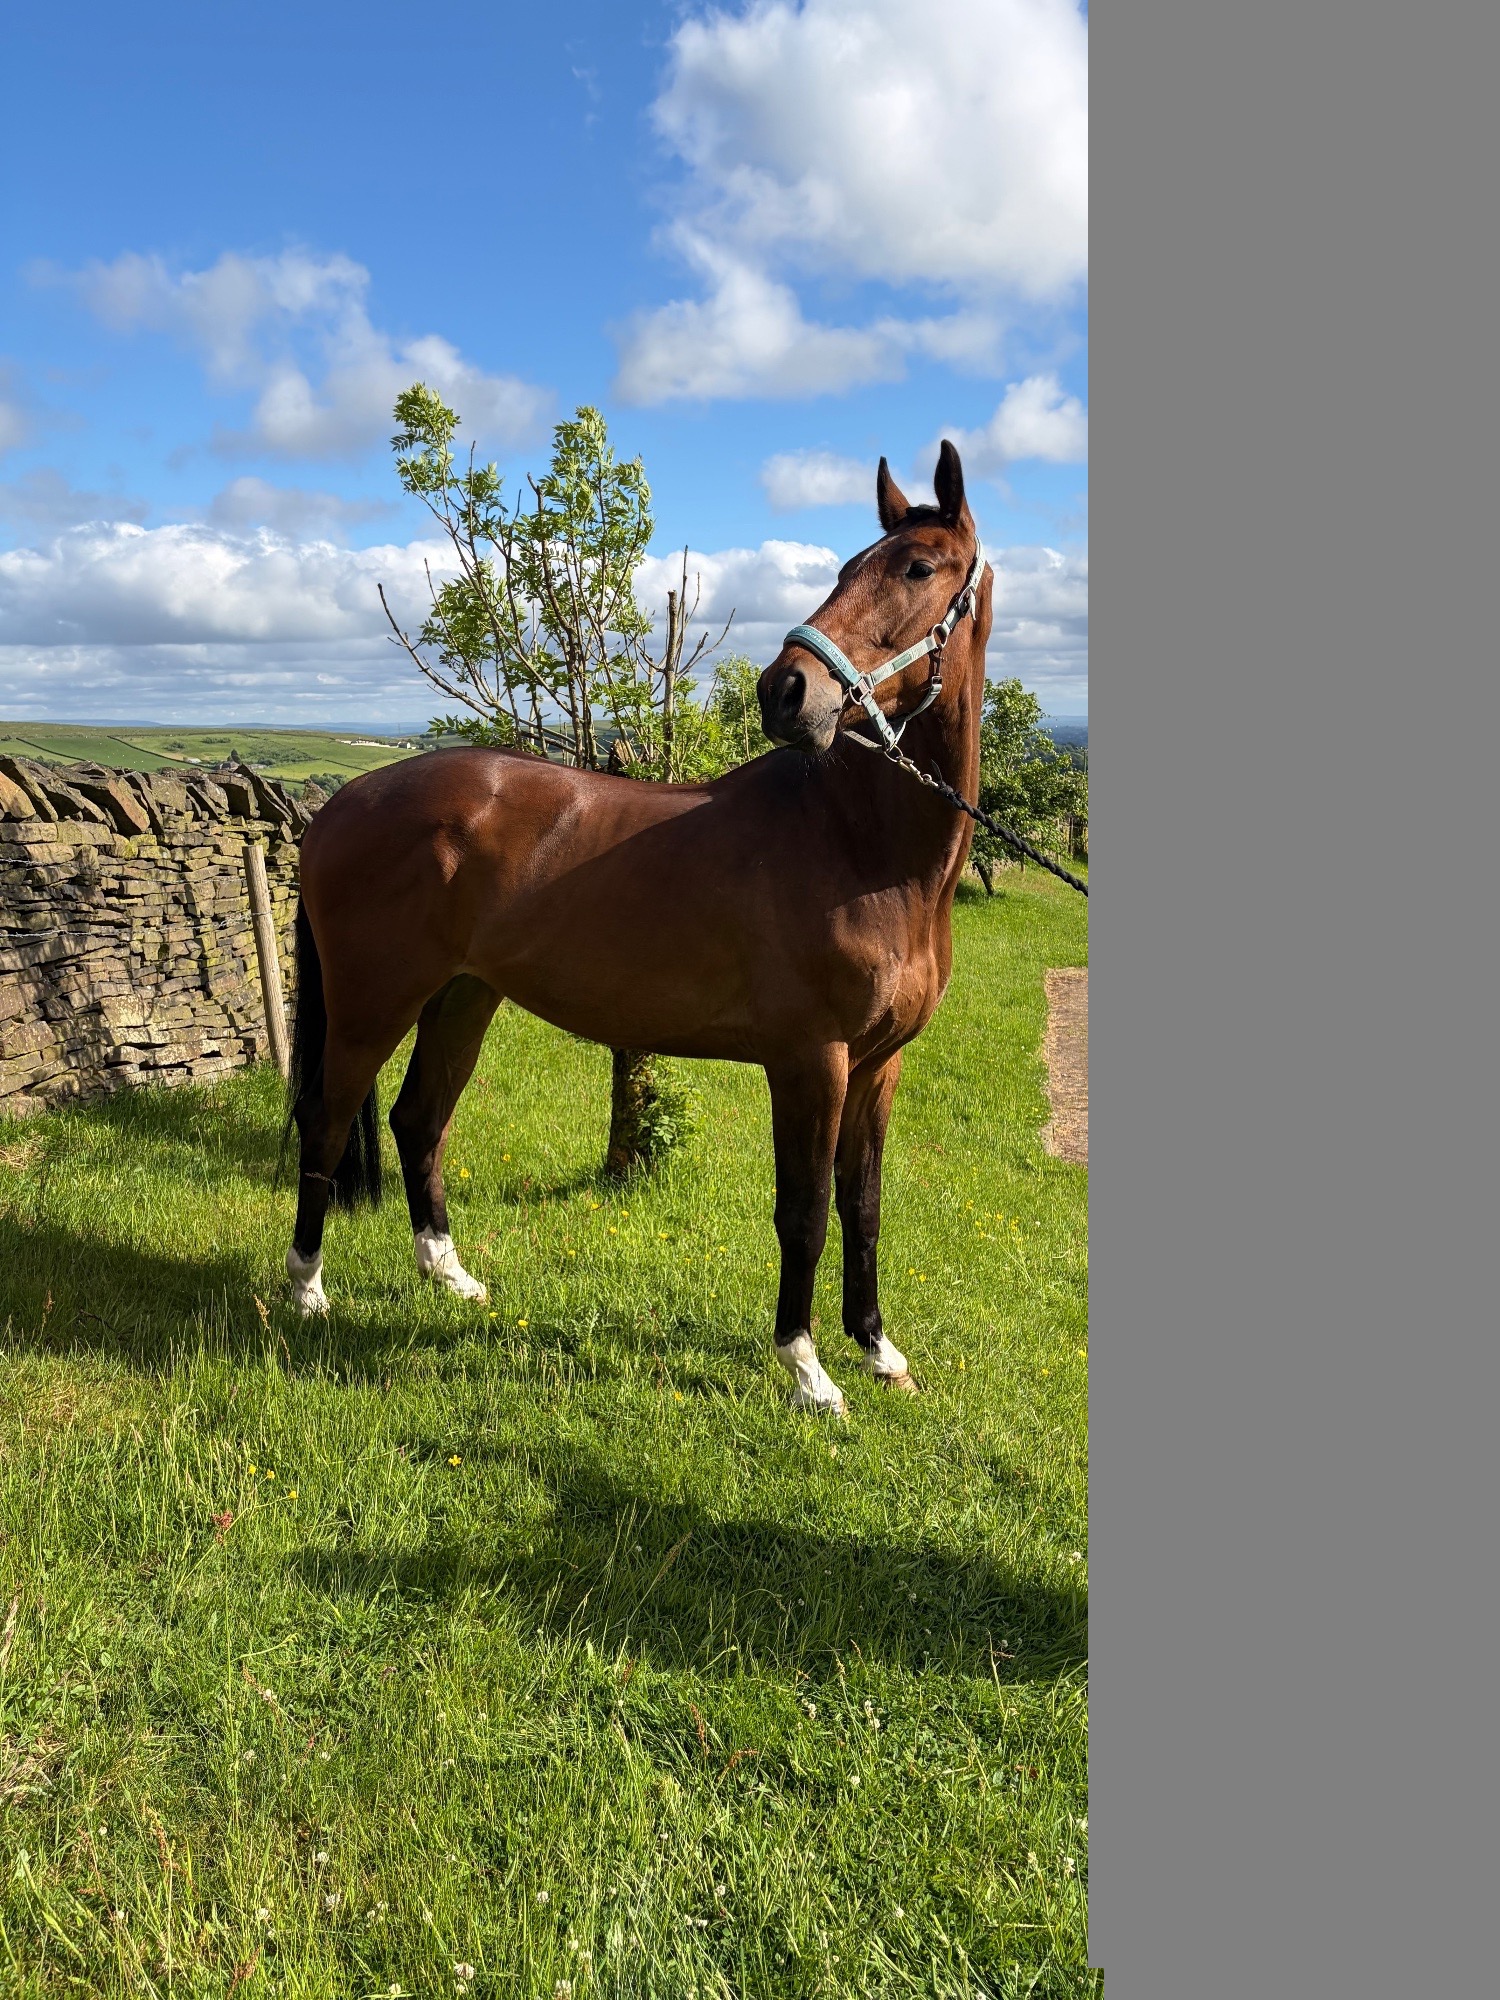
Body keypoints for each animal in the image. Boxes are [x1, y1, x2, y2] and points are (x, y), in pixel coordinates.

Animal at [283, 441, 993, 1416]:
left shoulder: (877, 1065)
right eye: (849, 567)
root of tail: (337, 806)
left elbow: (864, 1205)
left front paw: (879, 1351)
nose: (785, 690)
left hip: (463, 998)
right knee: (326, 1120)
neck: (861, 847)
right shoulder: (811, 1061)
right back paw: (308, 1289)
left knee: (418, 1119)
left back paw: (449, 1275)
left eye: (918, 568)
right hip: (370, 1006)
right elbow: (804, 1211)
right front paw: (807, 1370)